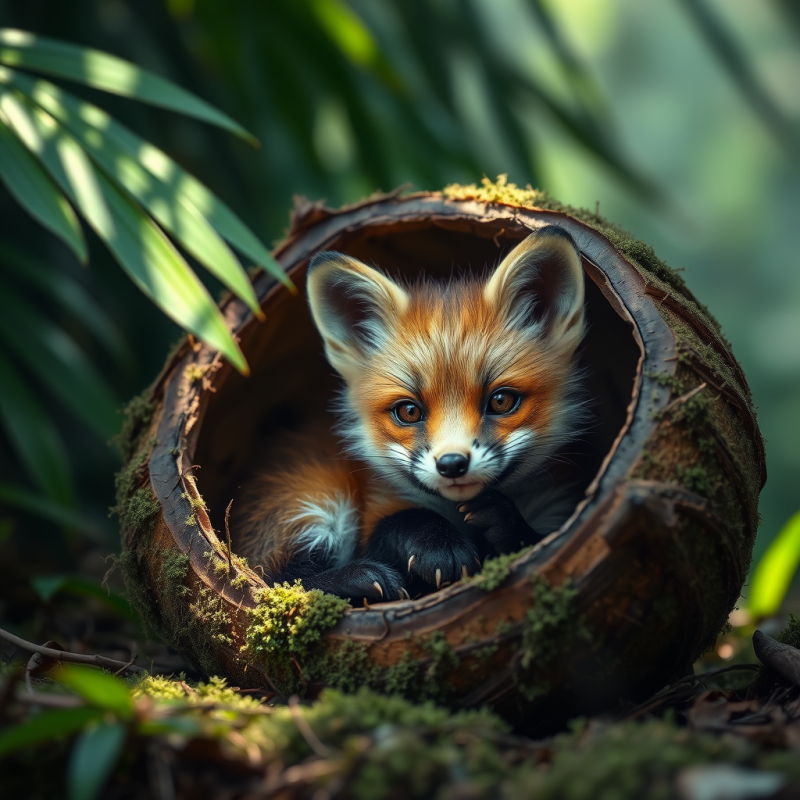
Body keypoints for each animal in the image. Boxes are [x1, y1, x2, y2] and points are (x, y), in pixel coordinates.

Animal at [232, 224, 587, 603]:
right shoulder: (378, 511)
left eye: (502, 401)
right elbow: (403, 522)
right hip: (317, 498)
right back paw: (358, 579)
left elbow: (531, 541)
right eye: (409, 411)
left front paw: (503, 519)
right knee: (277, 580)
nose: (451, 464)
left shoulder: (555, 513)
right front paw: (439, 547)